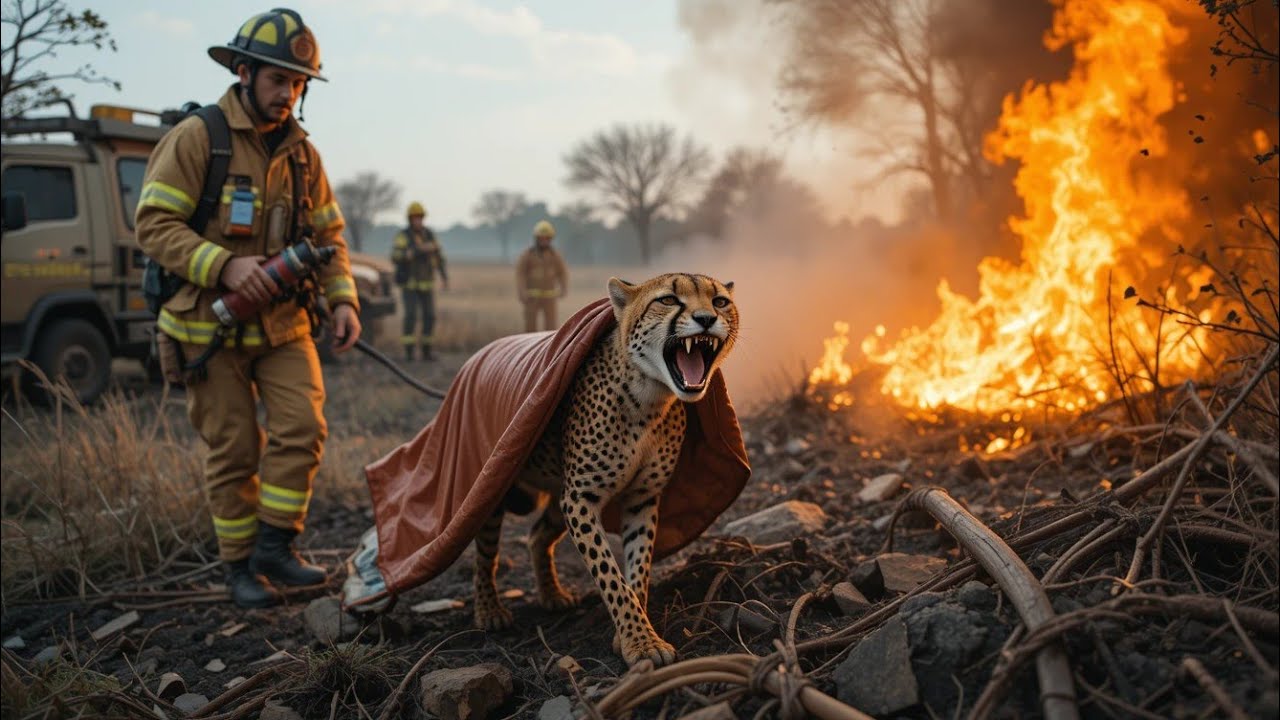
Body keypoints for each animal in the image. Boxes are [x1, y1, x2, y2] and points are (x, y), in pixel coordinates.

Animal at [470, 272, 739, 667]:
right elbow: (610, 574)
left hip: (558, 496)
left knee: (537, 535)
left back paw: (551, 594)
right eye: (668, 299)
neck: (649, 398)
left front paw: (634, 633)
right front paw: (640, 641)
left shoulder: (640, 499)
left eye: (720, 301)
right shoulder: (581, 499)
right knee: (486, 551)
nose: (706, 318)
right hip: (496, 487)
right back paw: (489, 610)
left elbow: (637, 569)